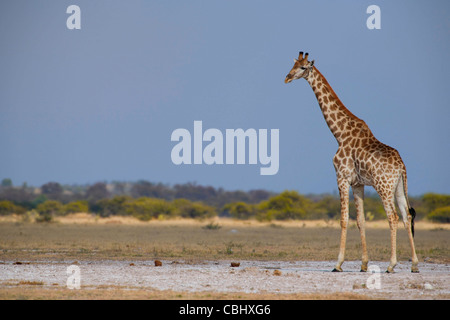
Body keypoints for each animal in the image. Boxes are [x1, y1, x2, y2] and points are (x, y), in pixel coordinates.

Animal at [284, 52, 418, 272]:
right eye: (293, 64)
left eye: (303, 67)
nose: (287, 77)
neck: (339, 133)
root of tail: (401, 166)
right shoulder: (357, 183)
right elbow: (361, 221)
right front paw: (363, 264)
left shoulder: (341, 177)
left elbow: (344, 219)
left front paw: (338, 263)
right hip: (398, 186)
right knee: (406, 217)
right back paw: (414, 264)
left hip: (383, 186)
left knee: (393, 217)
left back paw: (391, 264)